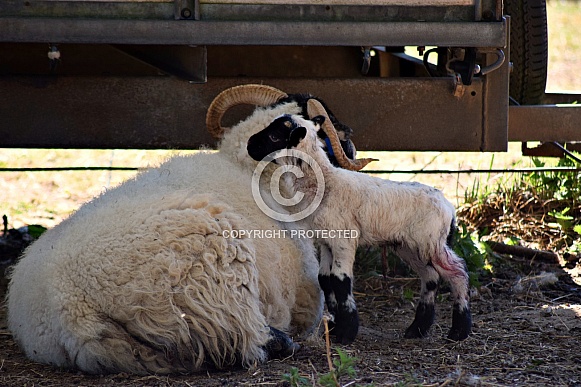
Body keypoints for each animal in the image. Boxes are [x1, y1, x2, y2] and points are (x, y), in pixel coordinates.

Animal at [6, 85, 360, 376]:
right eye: (328, 124)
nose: (353, 144)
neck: (252, 171)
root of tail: (72, 312)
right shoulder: (304, 300)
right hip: (211, 276)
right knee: (244, 339)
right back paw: (279, 342)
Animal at [245, 101, 472, 346]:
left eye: (275, 136)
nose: (249, 145)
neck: (324, 183)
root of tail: (449, 207)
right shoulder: (326, 241)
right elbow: (325, 279)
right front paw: (336, 329)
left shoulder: (344, 240)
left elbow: (340, 280)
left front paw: (347, 333)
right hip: (409, 246)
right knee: (430, 277)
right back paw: (417, 329)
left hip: (432, 243)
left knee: (457, 272)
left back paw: (459, 331)